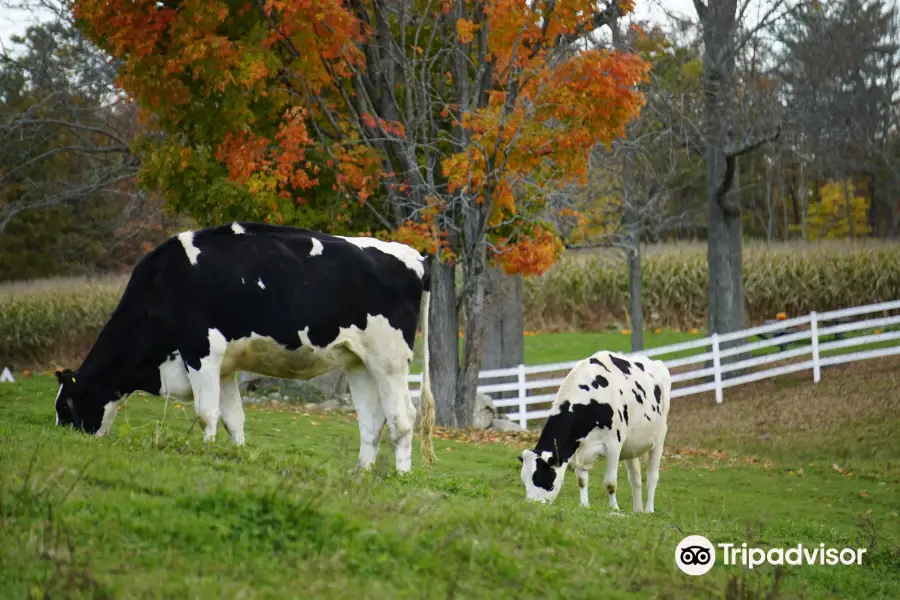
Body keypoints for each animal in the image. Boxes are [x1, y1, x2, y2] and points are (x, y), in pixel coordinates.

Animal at [54, 221, 438, 474]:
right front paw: (237, 456)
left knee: (403, 418)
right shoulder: (224, 367)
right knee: (372, 421)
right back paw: (360, 473)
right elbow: (232, 419)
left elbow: (206, 413)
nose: (63, 438)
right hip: (357, 361)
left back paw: (402, 476)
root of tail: (414, 256)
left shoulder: (202, 352)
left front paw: (203, 452)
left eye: (66, 405)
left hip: (389, 359)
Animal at [516, 352, 672, 510]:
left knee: (652, 478)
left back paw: (649, 510)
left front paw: (614, 509)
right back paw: (638, 510)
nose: (531, 505)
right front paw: (584, 506)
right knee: (635, 478)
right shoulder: (578, 448)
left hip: (659, 439)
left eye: (541, 478)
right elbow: (582, 480)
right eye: (524, 480)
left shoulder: (614, 445)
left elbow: (610, 483)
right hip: (631, 446)